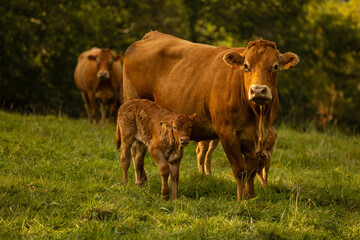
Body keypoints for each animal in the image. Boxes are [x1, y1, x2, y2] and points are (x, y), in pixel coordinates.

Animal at [123, 31, 298, 201]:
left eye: (275, 66)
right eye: (246, 66)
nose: (258, 90)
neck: (256, 115)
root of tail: (152, 35)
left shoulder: (258, 137)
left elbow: (251, 171)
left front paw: (251, 197)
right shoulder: (227, 134)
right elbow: (240, 170)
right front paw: (240, 200)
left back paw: (143, 182)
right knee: (137, 150)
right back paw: (139, 182)